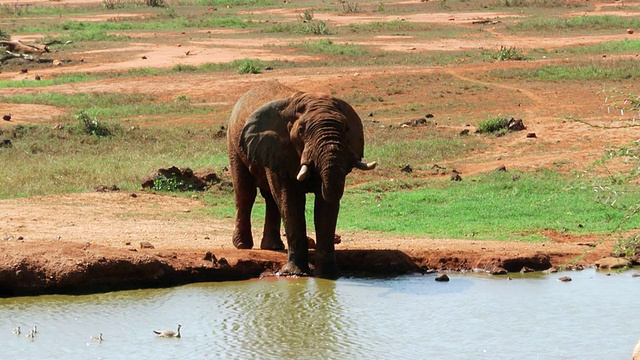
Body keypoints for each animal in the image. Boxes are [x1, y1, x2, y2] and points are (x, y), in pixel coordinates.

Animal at [226, 79, 372, 278]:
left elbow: (325, 206)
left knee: (271, 199)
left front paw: (328, 275)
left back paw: (273, 246)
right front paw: (294, 273)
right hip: (234, 144)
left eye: (346, 129)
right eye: (301, 130)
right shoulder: (279, 147)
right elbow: (291, 200)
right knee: (245, 193)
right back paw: (242, 245)